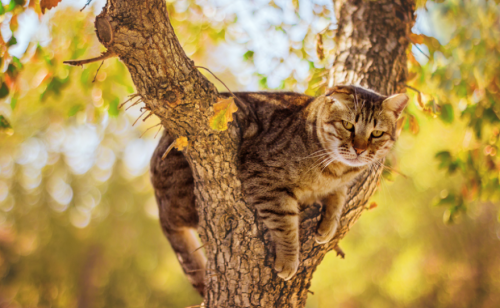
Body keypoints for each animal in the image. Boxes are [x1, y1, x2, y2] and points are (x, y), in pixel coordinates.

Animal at [150, 85, 408, 292]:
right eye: (348, 125)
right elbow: (286, 225)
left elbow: (338, 196)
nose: (360, 150)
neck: (333, 170)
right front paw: (288, 260)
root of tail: (161, 210)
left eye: (377, 133)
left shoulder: (338, 183)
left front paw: (328, 225)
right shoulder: (264, 178)